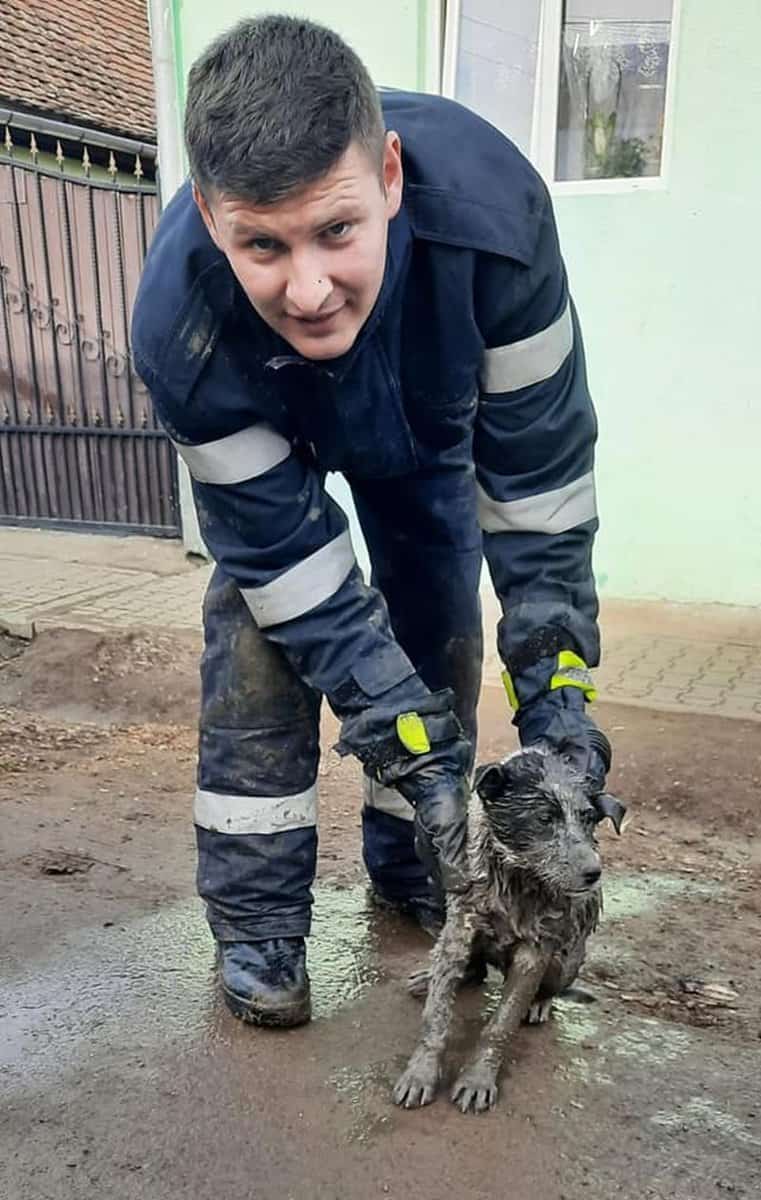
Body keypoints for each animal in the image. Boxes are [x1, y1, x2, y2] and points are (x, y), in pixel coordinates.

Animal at [391, 748, 624, 1113]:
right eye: (544, 818)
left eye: (589, 819)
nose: (593, 873)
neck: (516, 880)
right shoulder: (459, 929)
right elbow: (436, 1017)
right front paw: (420, 1072)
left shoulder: (534, 953)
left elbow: (500, 1024)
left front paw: (477, 1079)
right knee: (468, 969)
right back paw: (430, 978)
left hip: (565, 961)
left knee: (549, 988)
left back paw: (539, 1004)